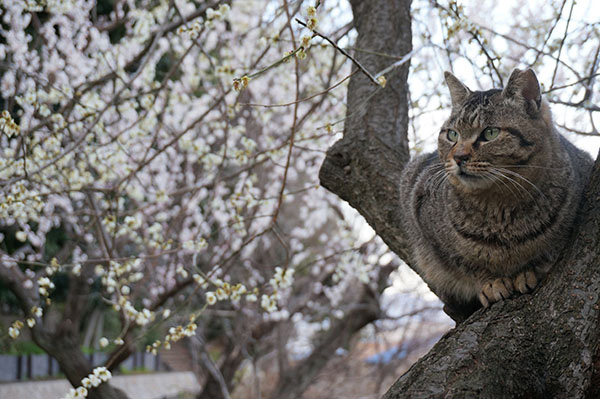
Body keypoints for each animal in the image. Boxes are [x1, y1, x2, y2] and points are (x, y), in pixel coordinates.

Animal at [400, 69, 592, 312]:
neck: (500, 204)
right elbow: (466, 263)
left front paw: (527, 271)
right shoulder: (424, 218)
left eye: (490, 133)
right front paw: (491, 282)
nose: (459, 157)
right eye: (452, 135)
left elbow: (546, 253)